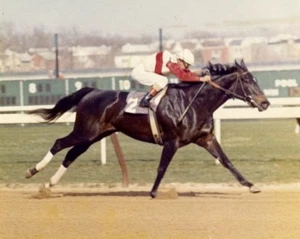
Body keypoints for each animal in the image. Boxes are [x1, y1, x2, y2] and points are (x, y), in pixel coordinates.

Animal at [25, 60, 270, 198]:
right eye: (249, 81)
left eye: (256, 79)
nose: (265, 103)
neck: (193, 102)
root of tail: (92, 91)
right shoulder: (171, 141)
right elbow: (162, 167)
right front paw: (153, 192)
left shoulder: (205, 138)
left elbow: (227, 161)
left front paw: (251, 186)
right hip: (86, 131)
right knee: (59, 143)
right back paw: (33, 171)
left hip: (95, 135)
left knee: (71, 154)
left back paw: (49, 184)